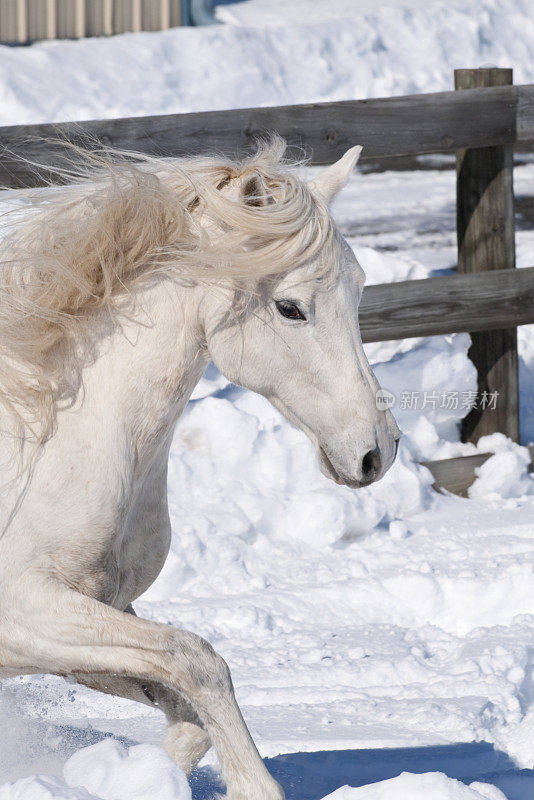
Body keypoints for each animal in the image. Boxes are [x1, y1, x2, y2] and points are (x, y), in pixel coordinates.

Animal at [0, 141, 400, 800]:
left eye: (362, 288)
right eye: (290, 308)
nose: (378, 451)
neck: (52, 438)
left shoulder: (91, 619)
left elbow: (187, 715)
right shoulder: (24, 612)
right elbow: (199, 661)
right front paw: (255, 787)